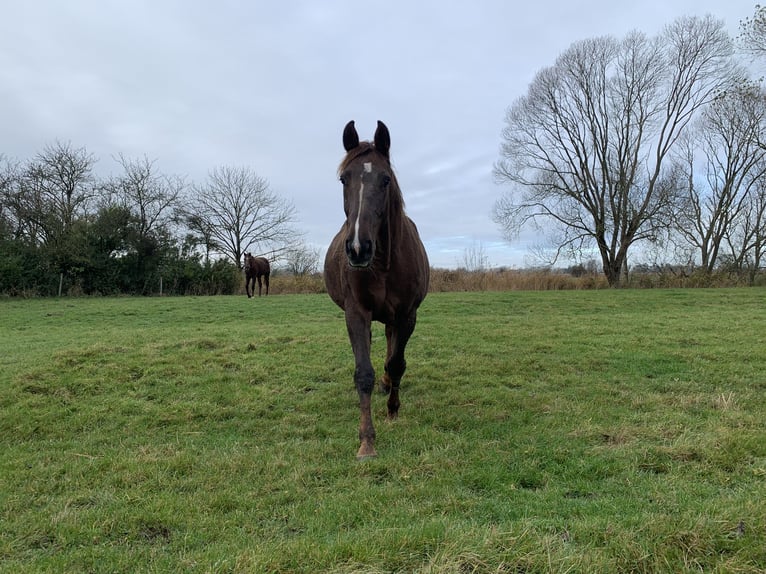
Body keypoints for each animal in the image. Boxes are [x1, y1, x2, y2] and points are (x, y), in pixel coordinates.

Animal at [324, 120, 430, 459]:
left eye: (385, 179)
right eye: (344, 178)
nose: (358, 248)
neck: (383, 263)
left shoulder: (407, 315)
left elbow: (396, 364)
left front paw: (393, 409)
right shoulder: (357, 313)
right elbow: (364, 373)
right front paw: (366, 440)